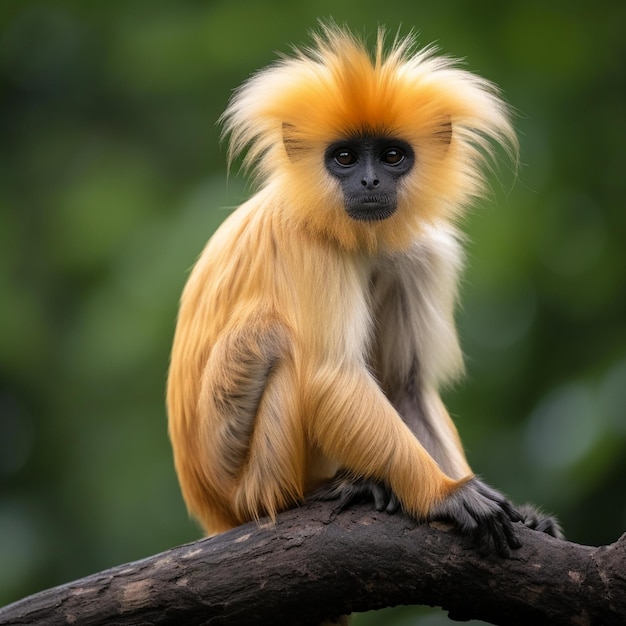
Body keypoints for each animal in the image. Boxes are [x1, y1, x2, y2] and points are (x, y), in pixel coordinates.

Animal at [167, 24, 560, 560]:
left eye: (392, 156)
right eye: (345, 157)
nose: (369, 180)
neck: (361, 241)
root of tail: (214, 511)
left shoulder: (418, 257)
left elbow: (406, 387)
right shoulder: (304, 238)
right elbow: (331, 376)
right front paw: (444, 494)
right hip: (247, 482)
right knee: (275, 340)